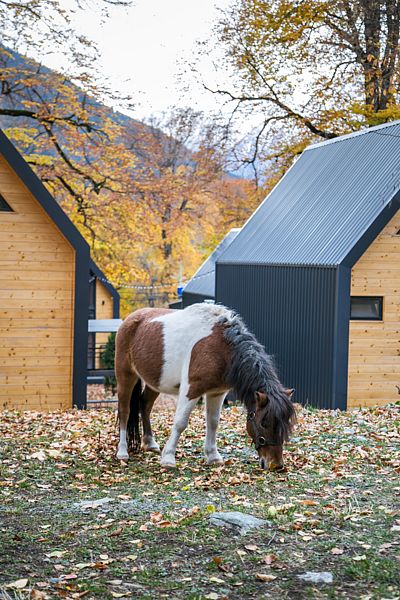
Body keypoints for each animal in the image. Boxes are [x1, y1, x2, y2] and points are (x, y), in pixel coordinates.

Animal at [115, 303, 295, 471]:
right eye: (264, 423)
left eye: (285, 423)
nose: (276, 465)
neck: (221, 347)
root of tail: (130, 319)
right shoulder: (191, 390)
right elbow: (180, 423)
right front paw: (168, 459)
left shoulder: (218, 393)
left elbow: (213, 422)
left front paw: (213, 456)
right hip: (126, 375)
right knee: (124, 411)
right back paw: (122, 452)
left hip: (155, 383)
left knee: (145, 405)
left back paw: (150, 443)